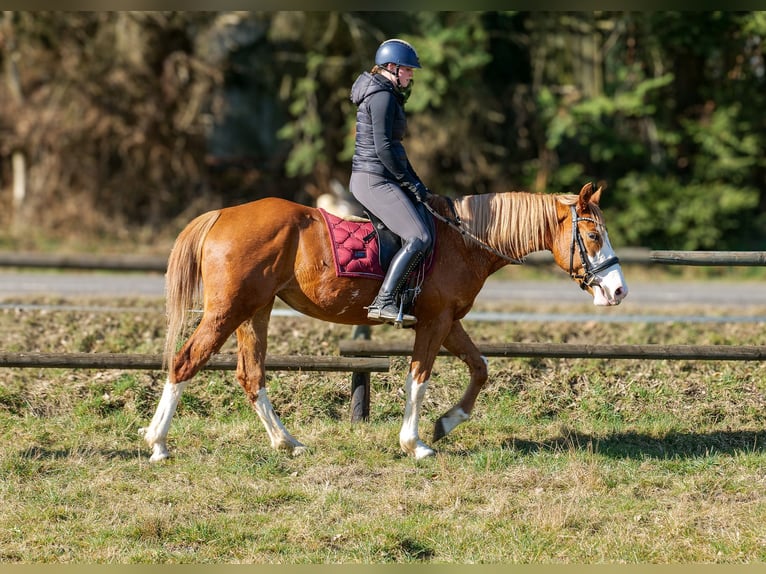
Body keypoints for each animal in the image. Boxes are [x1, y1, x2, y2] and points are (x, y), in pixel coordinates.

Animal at [140, 182, 632, 462]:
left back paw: (287, 443)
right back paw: (158, 444)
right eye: (592, 235)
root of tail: (222, 215)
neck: (463, 240)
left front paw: (447, 423)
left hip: (253, 312)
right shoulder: (433, 323)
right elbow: (419, 378)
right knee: (185, 363)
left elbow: (480, 368)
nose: (618, 291)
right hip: (228, 311)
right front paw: (415, 444)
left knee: (251, 376)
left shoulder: (448, 321)